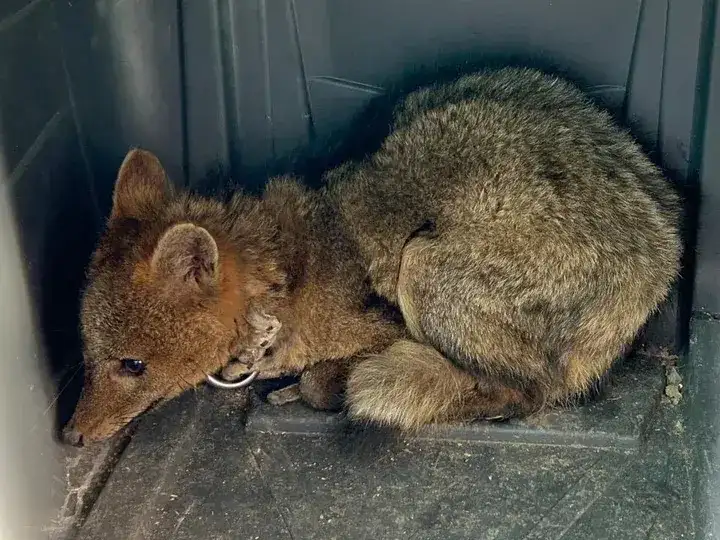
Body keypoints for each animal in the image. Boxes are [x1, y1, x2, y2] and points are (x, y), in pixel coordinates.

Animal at [62, 67, 682, 446]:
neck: (288, 281)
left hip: (423, 269)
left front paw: (315, 385)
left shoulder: (381, 324)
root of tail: (663, 257)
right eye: (87, 356)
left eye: (133, 365)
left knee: (523, 393)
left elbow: (323, 378)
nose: (70, 434)